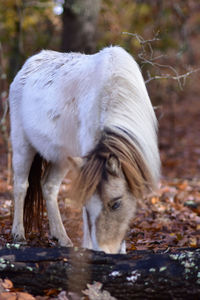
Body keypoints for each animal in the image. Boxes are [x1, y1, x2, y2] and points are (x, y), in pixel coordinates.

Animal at [9, 46, 160, 253]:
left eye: (116, 204)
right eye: (88, 206)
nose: (104, 251)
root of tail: (26, 67)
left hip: (61, 159)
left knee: (49, 187)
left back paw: (62, 238)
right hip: (22, 145)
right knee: (21, 186)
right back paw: (18, 234)